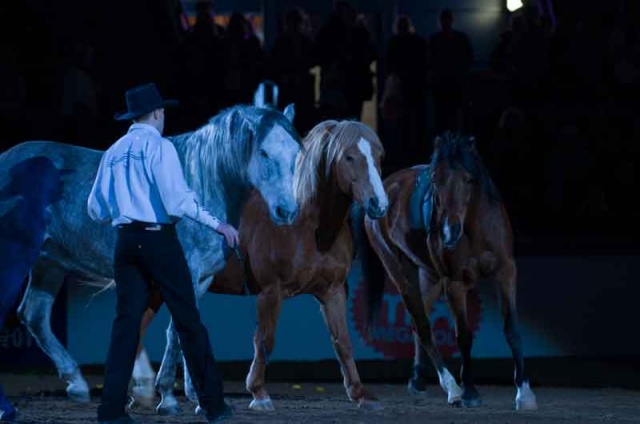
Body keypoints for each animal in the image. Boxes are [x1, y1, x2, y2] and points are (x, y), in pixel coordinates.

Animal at [132, 120, 388, 414]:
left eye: (378, 155)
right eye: (348, 156)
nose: (378, 204)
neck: (306, 227)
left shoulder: (332, 292)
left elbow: (343, 342)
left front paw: (359, 394)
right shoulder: (271, 292)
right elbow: (265, 340)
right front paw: (258, 393)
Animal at [356, 133, 538, 410]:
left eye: (468, 179)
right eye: (434, 179)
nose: (449, 232)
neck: (475, 229)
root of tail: (386, 187)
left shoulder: (506, 273)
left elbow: (512, 329)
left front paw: (524, 392)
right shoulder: (454, 284)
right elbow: (463, 335)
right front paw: (470, 392)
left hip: (429, 277)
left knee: (417, 323)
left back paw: (418, 380)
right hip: (400, 273)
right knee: (422, 326)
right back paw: (452, 387)